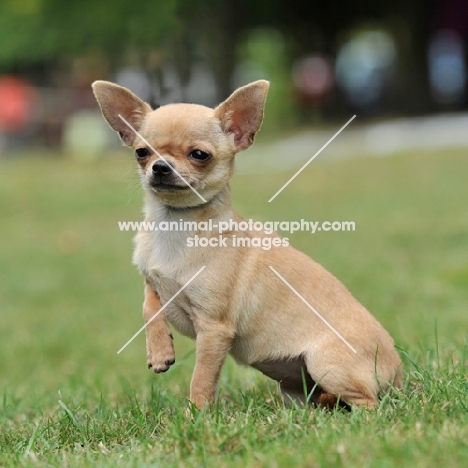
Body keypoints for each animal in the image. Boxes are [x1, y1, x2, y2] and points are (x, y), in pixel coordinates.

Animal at [92, 80, 402, 410]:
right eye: (141, 152)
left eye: (199, 155)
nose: (160, 167)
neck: (176, 223)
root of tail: (398, 372)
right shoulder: (153, 280)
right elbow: (149, 307)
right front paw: (159, 351)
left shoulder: (214, 329)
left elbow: (202, 378)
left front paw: (195, 414)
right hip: (294, 387)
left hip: (326, 363)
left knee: (369, 403)